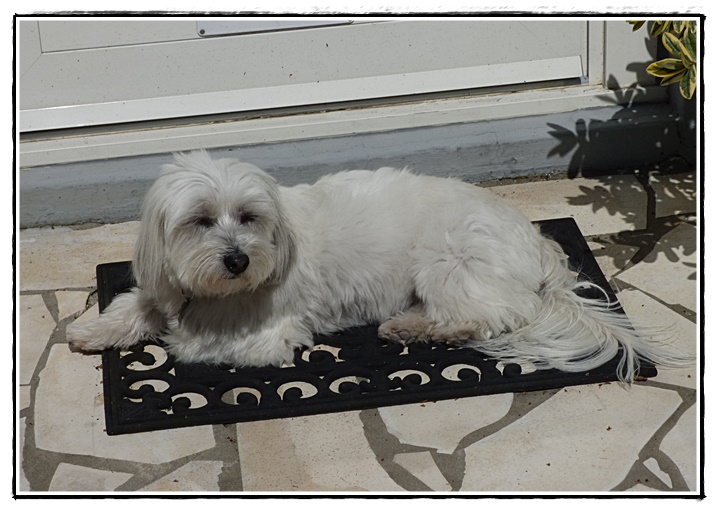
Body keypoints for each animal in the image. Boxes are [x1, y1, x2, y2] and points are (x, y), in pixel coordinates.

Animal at [67, 150, 688, 382]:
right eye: (199, 221)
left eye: (247, 217)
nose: (238, 259)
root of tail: (538, 245)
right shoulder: (164, 283)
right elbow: (136, 305)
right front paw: (93, 330)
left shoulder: (269, 337)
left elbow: (196, 343)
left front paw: (179, 337)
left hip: (448, 260)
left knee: (490, 317)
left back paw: (414, 328)